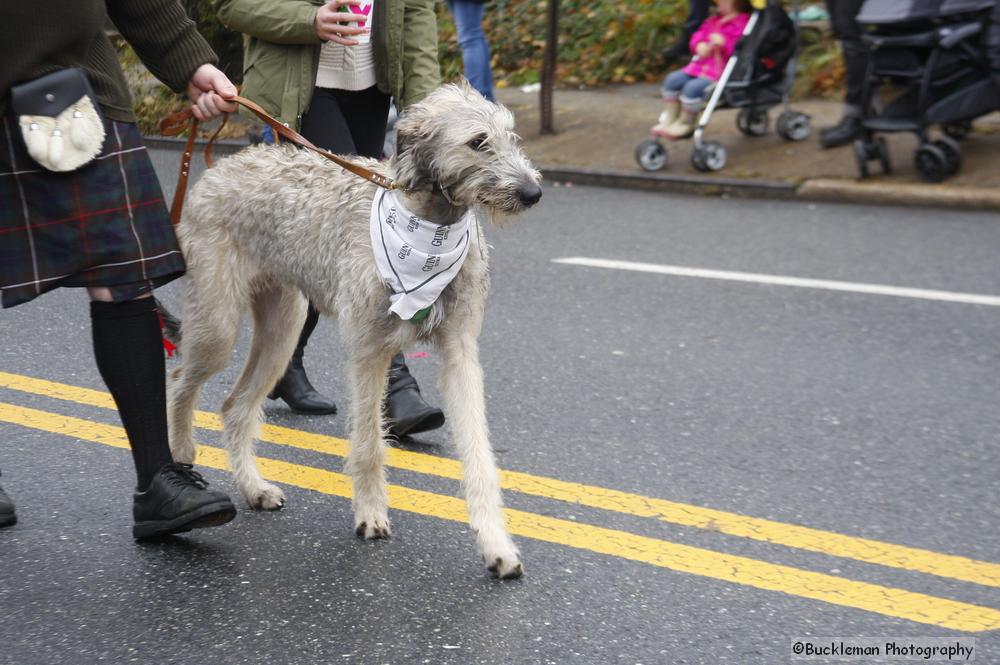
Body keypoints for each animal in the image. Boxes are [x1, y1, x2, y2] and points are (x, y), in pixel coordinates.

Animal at [173, 81, 548, 576]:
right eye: (478, 142)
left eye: (511, 136)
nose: (533, 192)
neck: (428, 228)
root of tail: (219, 168)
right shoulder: (369, 350)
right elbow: (369, 444)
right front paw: (371, 515)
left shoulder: (460, 352)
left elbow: (478, 454)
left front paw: (496, 544)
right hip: (218, 324)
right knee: (180, 380)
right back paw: (180, 456)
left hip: (283, 328)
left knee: (235, 406)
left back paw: (253, 488)